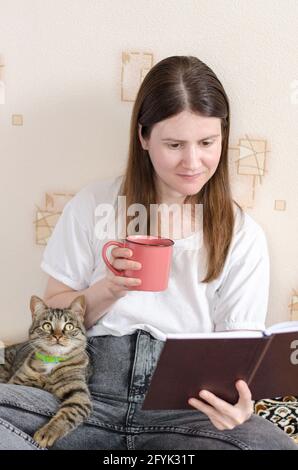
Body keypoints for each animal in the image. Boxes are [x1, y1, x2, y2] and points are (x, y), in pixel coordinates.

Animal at [0, 296, 92, 446]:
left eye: (69, 326)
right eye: (47, 325)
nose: (58, 336)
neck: (51, 361)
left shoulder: (79, 395)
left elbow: (68, 414)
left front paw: (47, 432)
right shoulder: (16, 381)